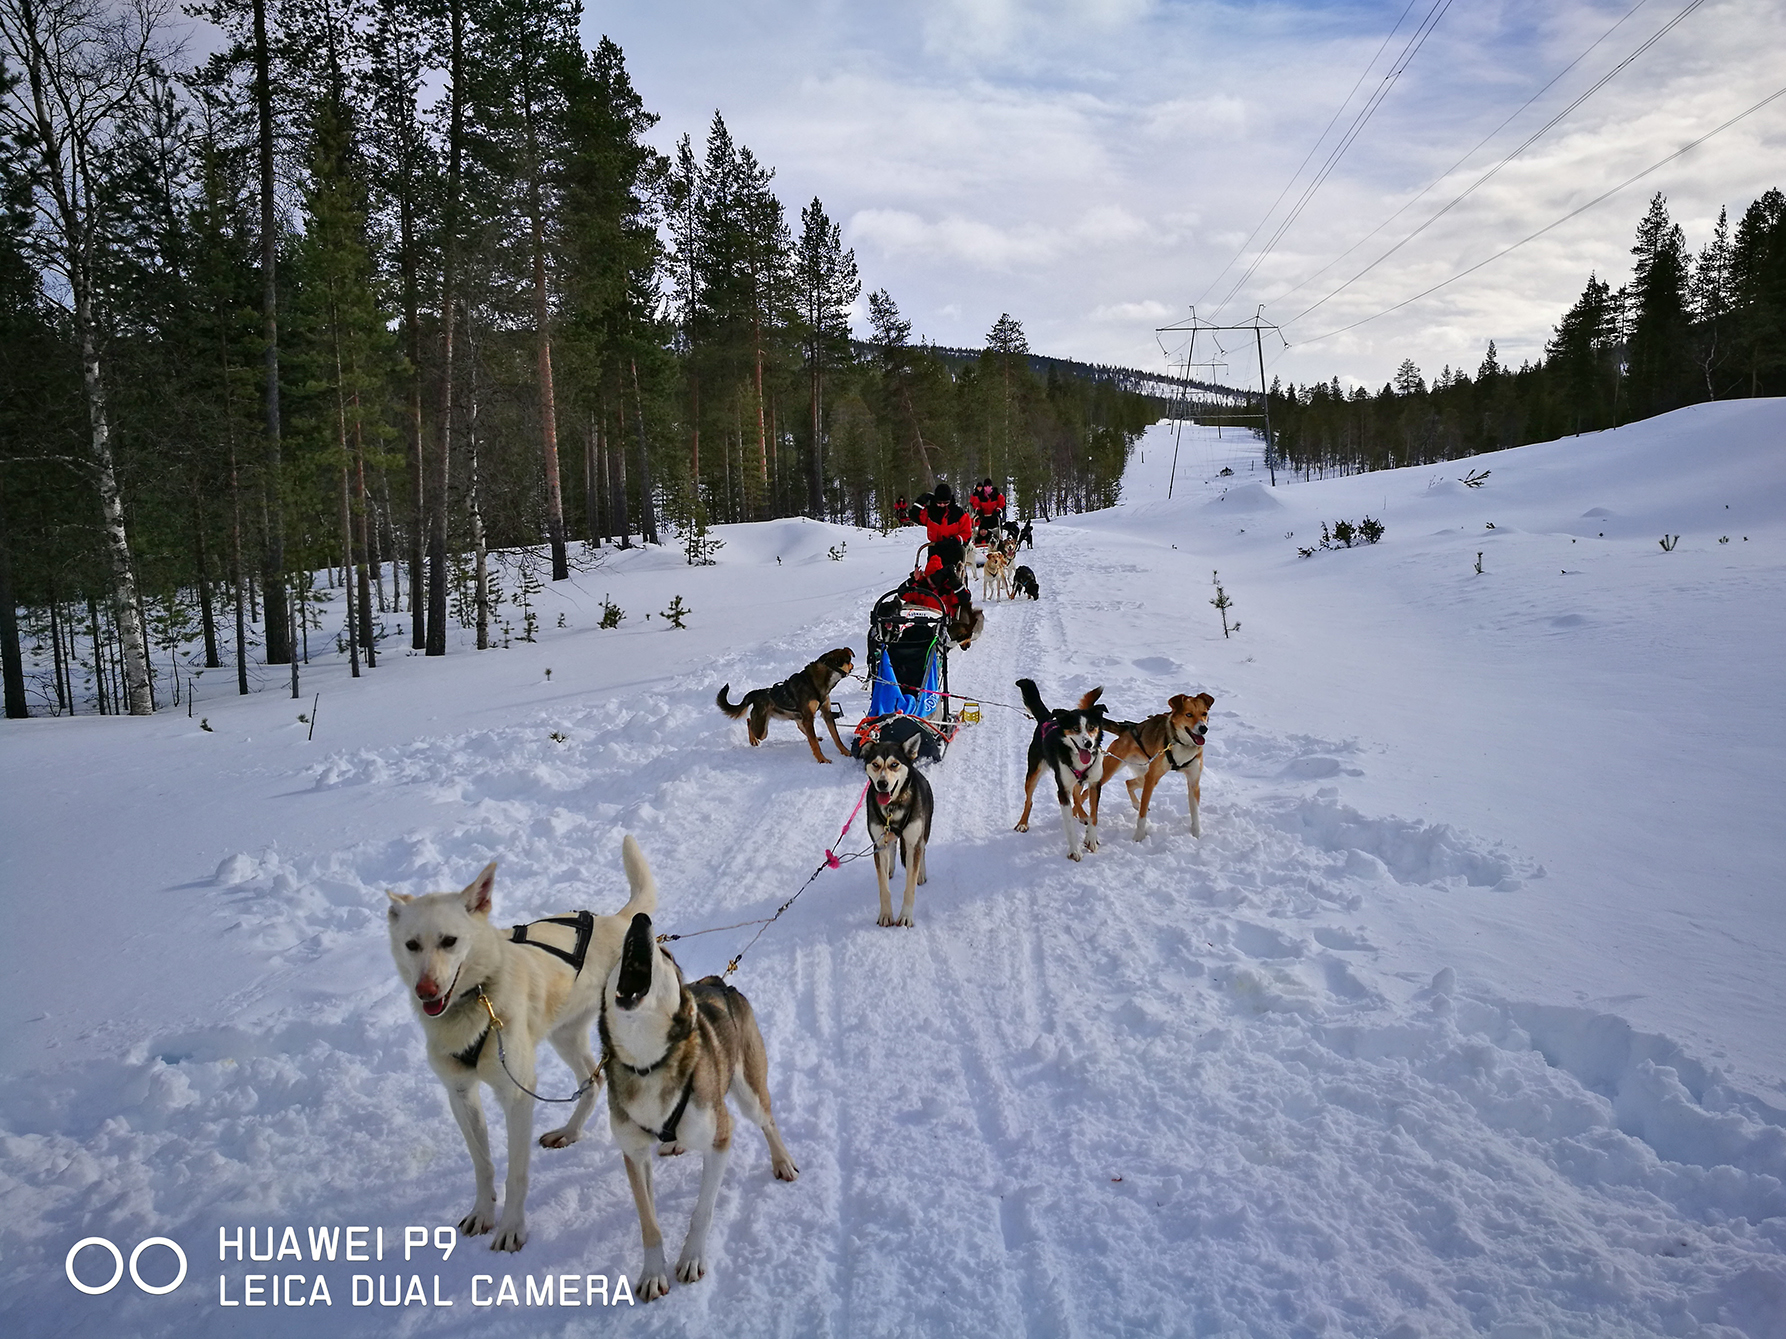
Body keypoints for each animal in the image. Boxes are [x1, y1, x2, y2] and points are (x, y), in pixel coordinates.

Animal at [383, 849, 657, 1256]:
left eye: (449, 941)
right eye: (411, 945)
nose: (426, 990)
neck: (480, 998)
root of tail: (616, 921)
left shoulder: (517, 1095)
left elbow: (517, 1173)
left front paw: (511, 1228)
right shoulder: (460, 1094)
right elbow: (482, 1164)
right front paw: (482, 1213)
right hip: (564, 1036)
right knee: (591, 1081)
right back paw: (569, 1132)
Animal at [714, 649, 853, 764]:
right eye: (850, 661)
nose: (853, 666)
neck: (815, 682)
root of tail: (757, 693)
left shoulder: (826, 714)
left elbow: (836, 737)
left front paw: (846, 752)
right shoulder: (809, 717)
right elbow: (815, 745)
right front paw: (822, 759)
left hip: (794, 718)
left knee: (803, 729)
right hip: (762, 729)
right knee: (749, 722)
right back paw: (753, 740)